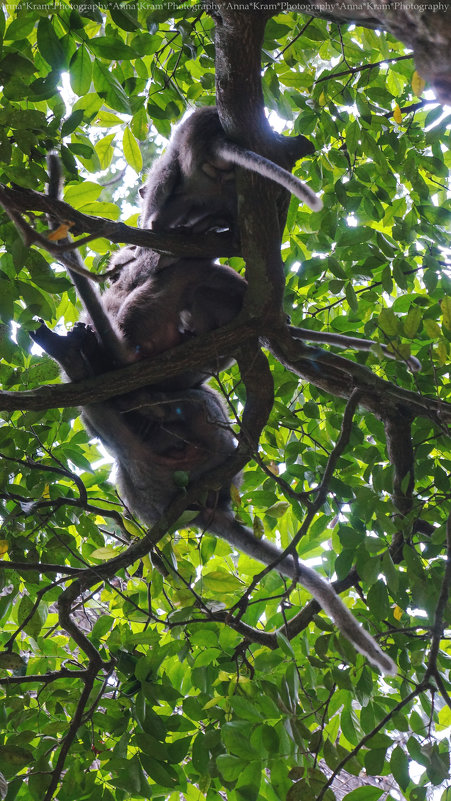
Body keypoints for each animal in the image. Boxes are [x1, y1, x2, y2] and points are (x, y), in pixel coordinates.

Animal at [139, 105, 324, 234]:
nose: (141, 191)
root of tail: (216, 137)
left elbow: (163, 177)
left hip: (189, 155)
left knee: (173, 189)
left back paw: (154, 224)